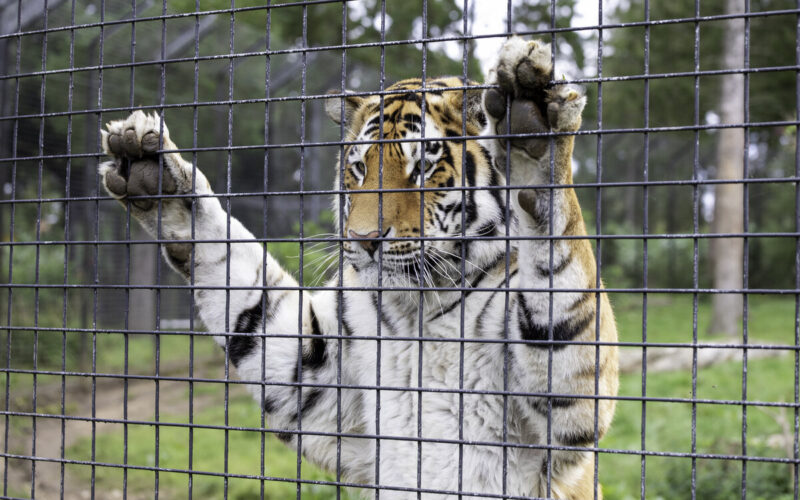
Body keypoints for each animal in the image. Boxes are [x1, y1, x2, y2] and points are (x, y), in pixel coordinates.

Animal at [98, 37, 620, 498]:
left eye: (422, 169)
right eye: (358, 169)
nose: (365, 240)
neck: (416, 308)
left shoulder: (565, 416)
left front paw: (534, 128)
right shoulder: (316, 382)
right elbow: (242, 285)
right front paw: (152, 168)